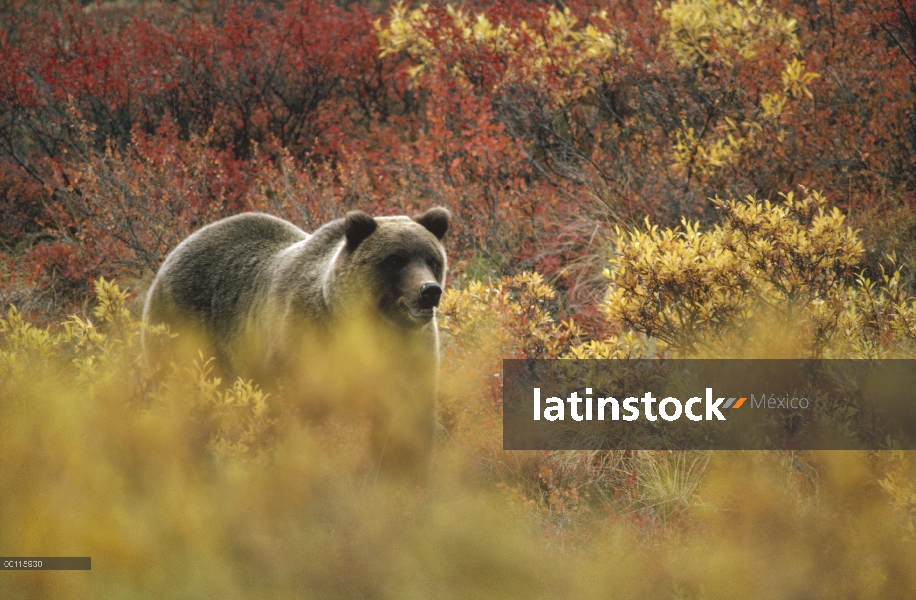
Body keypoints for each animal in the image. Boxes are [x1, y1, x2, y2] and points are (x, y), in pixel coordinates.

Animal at [142, 209, 450, 480]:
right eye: (396, 260)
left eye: (432, 259)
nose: (429, 290)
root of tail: (177, 250)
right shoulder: (305, 340)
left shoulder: (409, 354)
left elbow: (406, 418)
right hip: (186, 329)